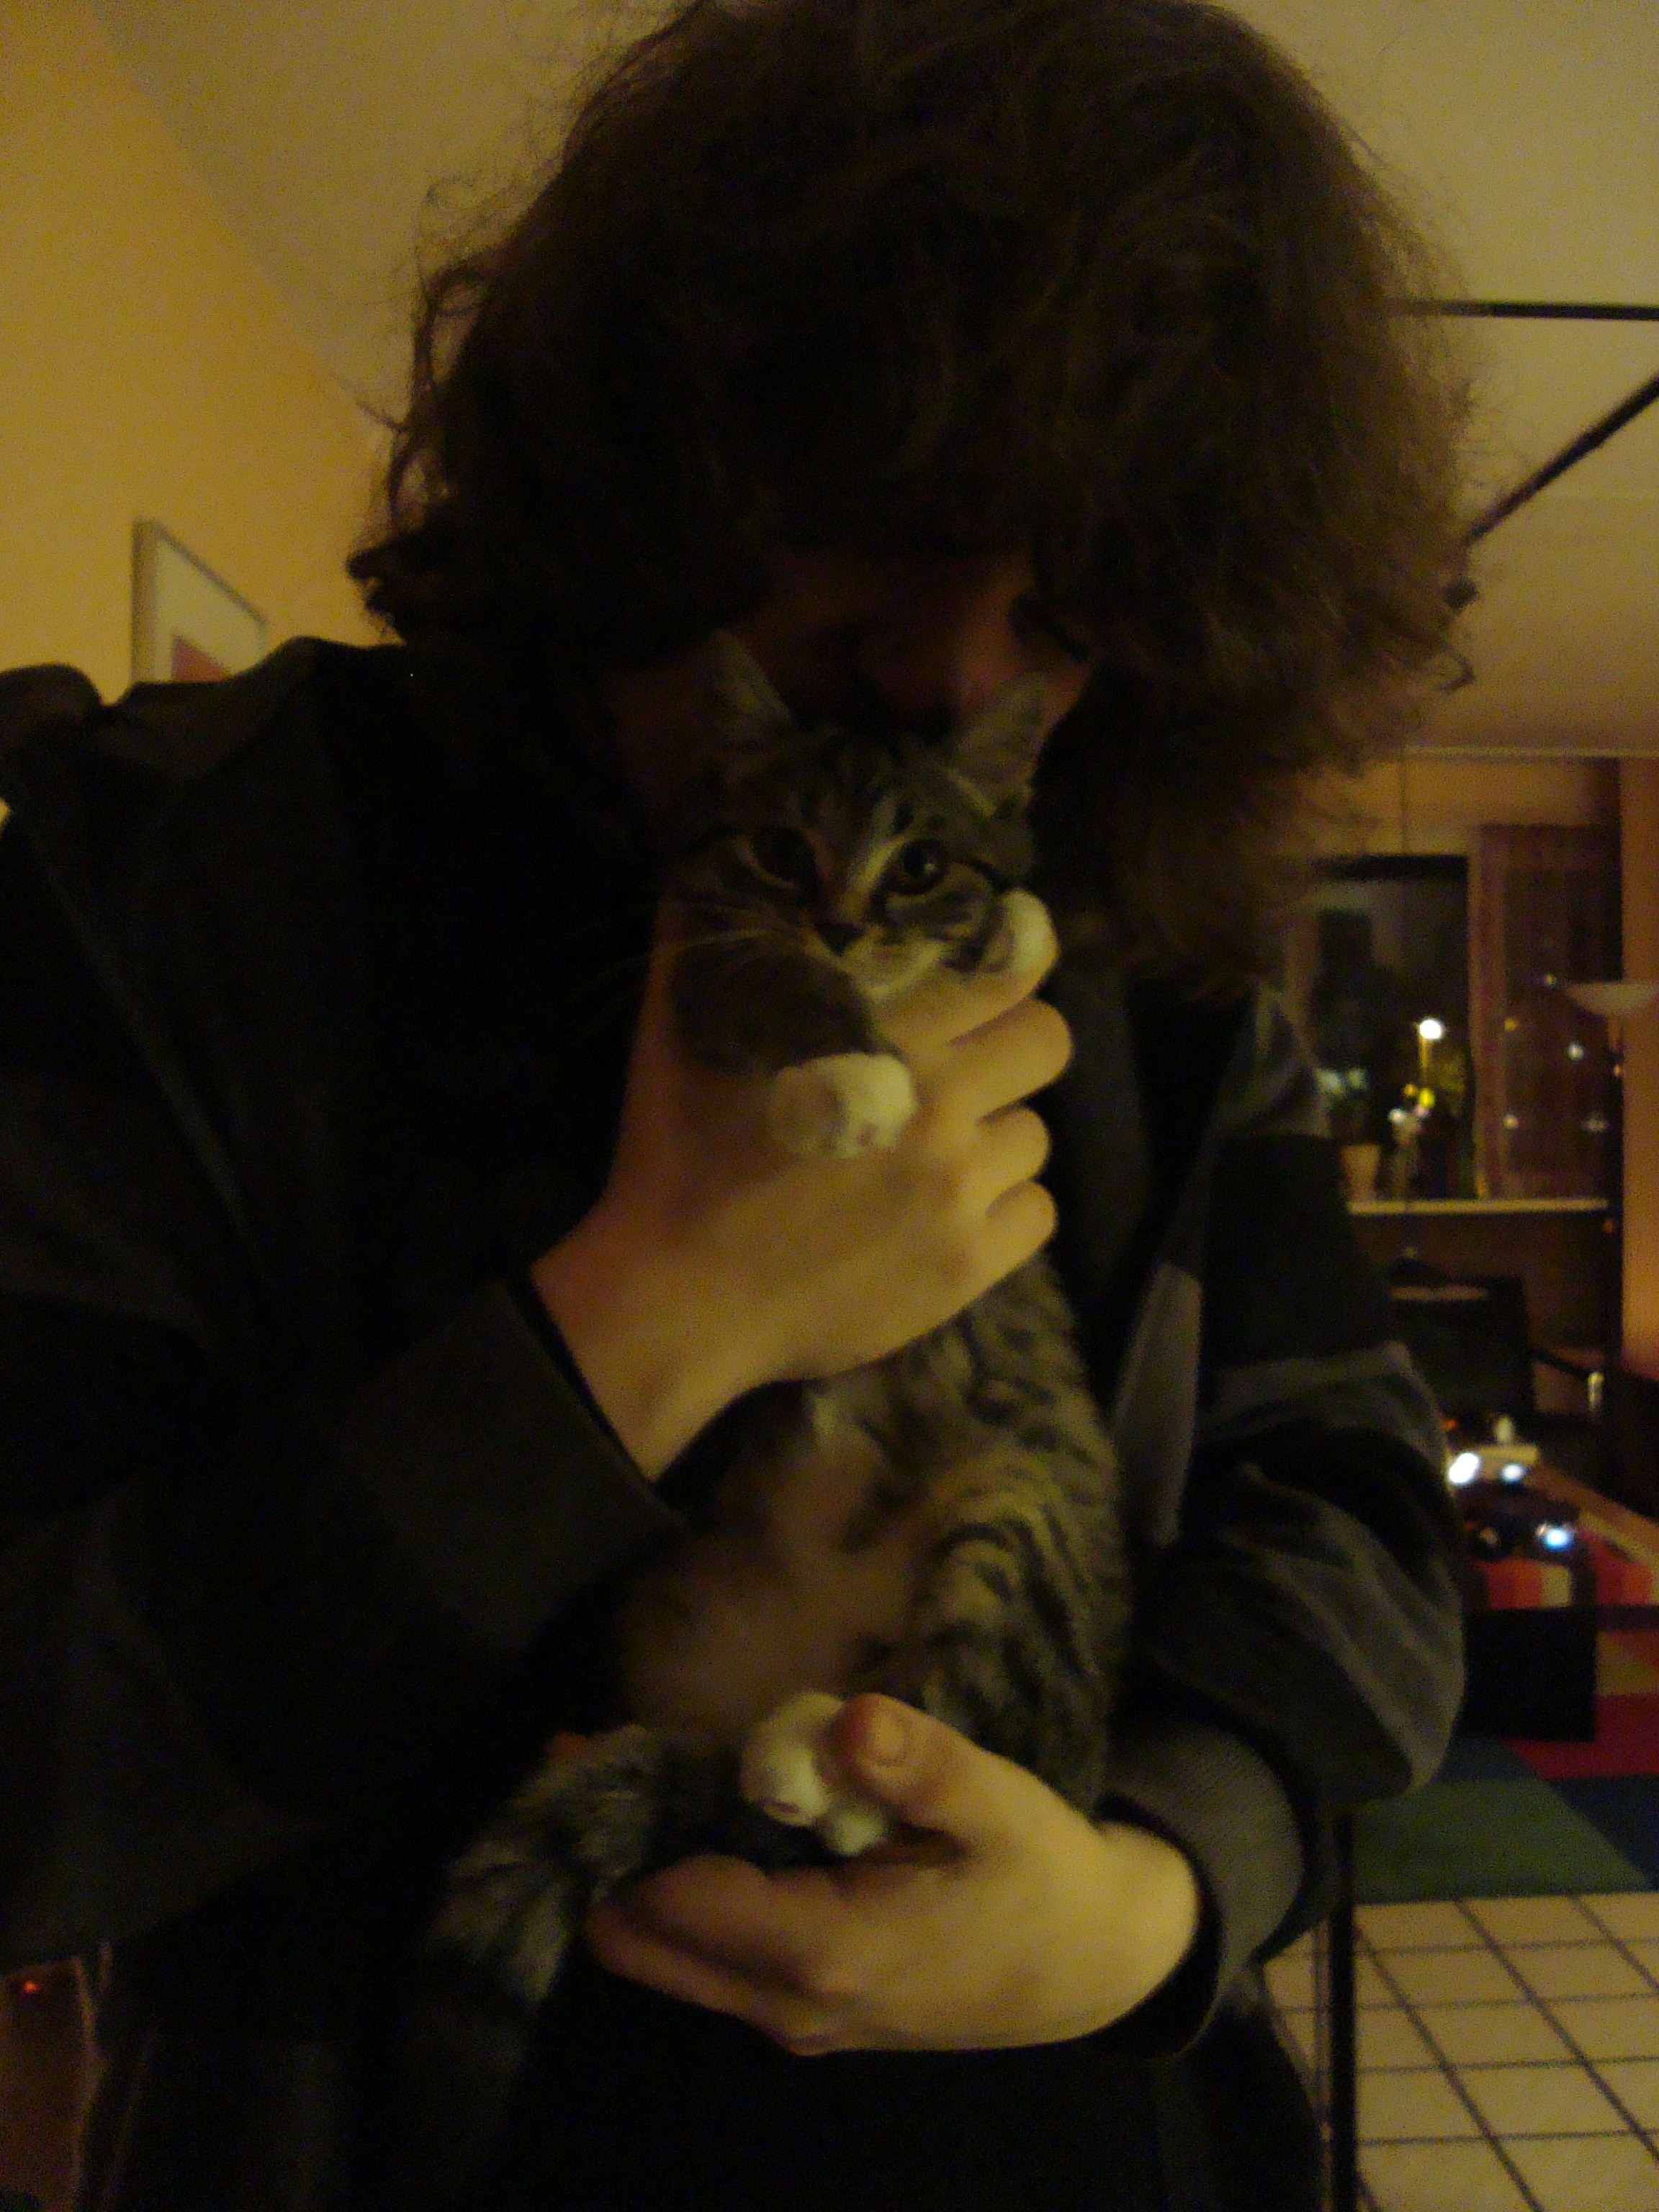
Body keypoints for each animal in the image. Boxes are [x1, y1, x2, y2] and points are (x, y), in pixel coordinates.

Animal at [385, 636, 1132, 2206]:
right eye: (786, 849)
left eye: (920, 862)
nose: (843, 924)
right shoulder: (701, 963)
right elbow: (763, 980)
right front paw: (848, 1077)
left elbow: (1008, 930)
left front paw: (1010, 926)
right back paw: (787, 1759)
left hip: (1021, 1507)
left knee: (949, 1713)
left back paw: (815, 1756)